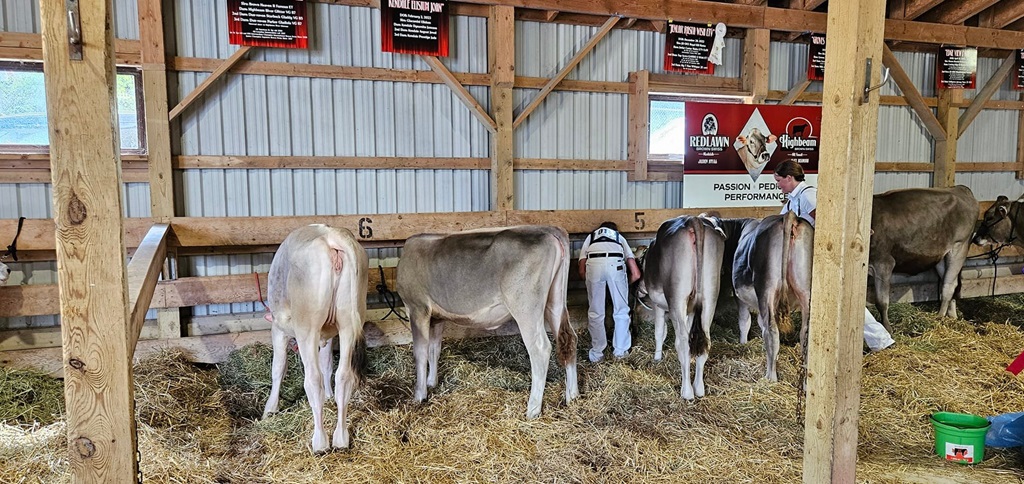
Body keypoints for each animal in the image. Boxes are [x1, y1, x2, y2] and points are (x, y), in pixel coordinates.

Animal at [262, 224, 368, 453]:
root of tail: (332, 235)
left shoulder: (279, 328)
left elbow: (278, 368)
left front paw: (269, 409)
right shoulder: (327, 334)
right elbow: (327, 363)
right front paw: (329, 396)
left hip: (307, 327)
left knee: (313, 379)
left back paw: (320, 441)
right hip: (348, 322)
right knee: (343, 375)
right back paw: (341, 438)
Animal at [396, 225, 578, 419]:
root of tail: (547, 229)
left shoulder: (417, 308)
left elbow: (420, 352)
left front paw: (419, 395)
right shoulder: (437, 317)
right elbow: (434, 349)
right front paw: (431, 382)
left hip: (526, 308)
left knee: (540, 349)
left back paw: (532, 409)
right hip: (555, 302)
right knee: (569, 339)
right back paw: (572, 396)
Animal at [638, 214, 754, 399]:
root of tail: (693, 220)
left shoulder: (659, 306)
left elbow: (659, 333)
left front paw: (657, 357)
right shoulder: (691, 311)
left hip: (677, 298)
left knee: (683, 343)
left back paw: (687, 391)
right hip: (709, 296)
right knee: (705, 342)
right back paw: (699, 388)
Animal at [732, 212, 814, 382]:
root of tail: (789, 216)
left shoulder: (740, 298)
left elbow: (744, 322)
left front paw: (743, 343)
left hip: (766, 289)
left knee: (771, 330)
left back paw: (770, 377)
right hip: (805, 289)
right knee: (805, 332)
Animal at [868, 185, 978, 332]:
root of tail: (959, 188)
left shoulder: (884, 263)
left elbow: (881, 302)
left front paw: (887, 329)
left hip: (959, 247)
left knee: (948, 286)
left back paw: (939, 317)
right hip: (941, 257)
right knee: (952, 283)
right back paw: (952, 317)